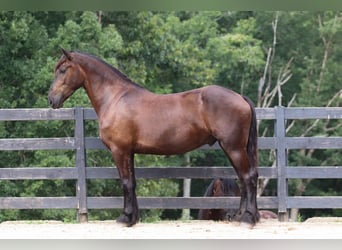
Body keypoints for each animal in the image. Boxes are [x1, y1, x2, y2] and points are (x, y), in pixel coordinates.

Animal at [48, 48, 260, 227]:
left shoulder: (120, 150)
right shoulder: (129, 152)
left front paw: (125, 218)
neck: (116, 98)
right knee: (244, 179)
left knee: (248, 177)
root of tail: (240, 97)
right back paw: (243, 216)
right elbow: (132, 183)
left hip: (233, 148)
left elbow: (125, 183)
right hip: (232, 148)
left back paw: (248, 218)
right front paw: (133, 217)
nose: (51, 99)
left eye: (63, 70)